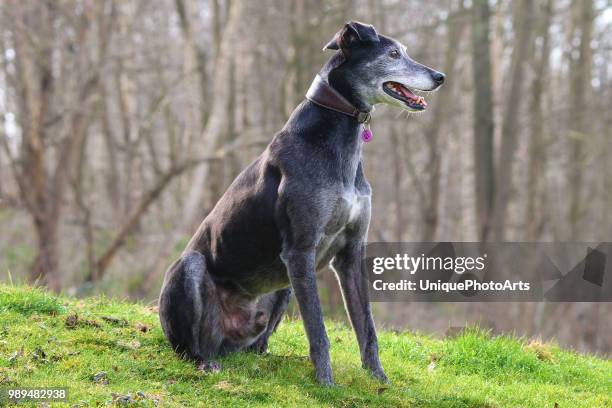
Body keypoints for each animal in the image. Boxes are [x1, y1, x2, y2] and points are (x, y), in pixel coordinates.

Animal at [159, 21, 444, 386]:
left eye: (404, 51)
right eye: (393, 54)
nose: (440, 76)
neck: (336, 134)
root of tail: (224, 344)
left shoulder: (351, 254)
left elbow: (367, 326)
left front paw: (378, 379)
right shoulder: (301, 250)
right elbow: (318, 330)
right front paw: (326, 384)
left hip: (283, 287)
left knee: (257, 344)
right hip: (195, 271)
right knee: (189, 346)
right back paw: (205, 362)